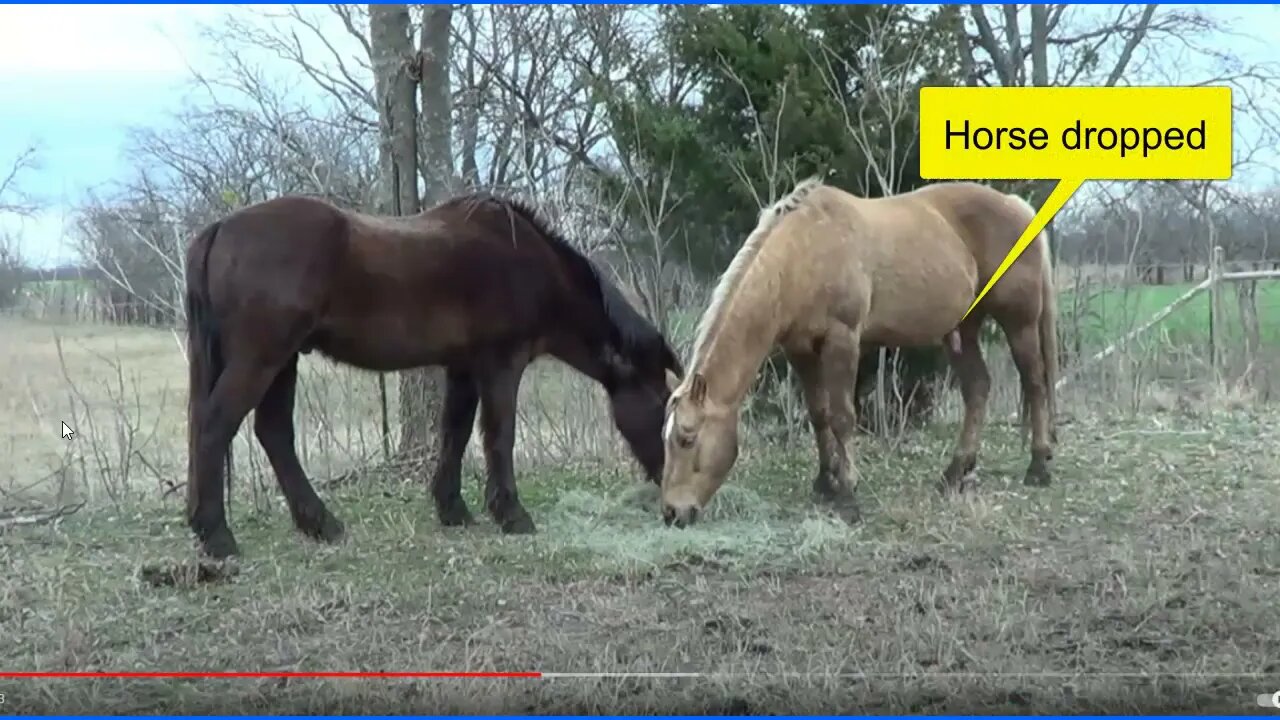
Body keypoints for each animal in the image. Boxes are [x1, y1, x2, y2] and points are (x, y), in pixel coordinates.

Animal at [185, 189, 686, 556]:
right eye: (664, 408)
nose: (675, 502)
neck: (528, 262)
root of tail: (220, 228)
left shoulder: (462, 369)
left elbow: (455, 434)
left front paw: (453, 509)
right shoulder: (501, 365)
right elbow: (499, 436)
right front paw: (512, 515)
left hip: (283, 361)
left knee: (272, 434)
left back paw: (318, 524)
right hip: (262, 358)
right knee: (216, 426)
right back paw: (218, 536)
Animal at [660, 178, 1059, 527]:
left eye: (686, 438)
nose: (672, 513)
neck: (804, 252)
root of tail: (1018, 206)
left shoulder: (843, 341)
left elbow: (842, 417)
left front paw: (848, 495)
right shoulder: (801, 350)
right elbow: (819, 414)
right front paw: (825, 482)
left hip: (1020, 323)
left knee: (1035, 383)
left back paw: (1038, 467)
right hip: (963, 329)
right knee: (977, 388)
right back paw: (954, 472)